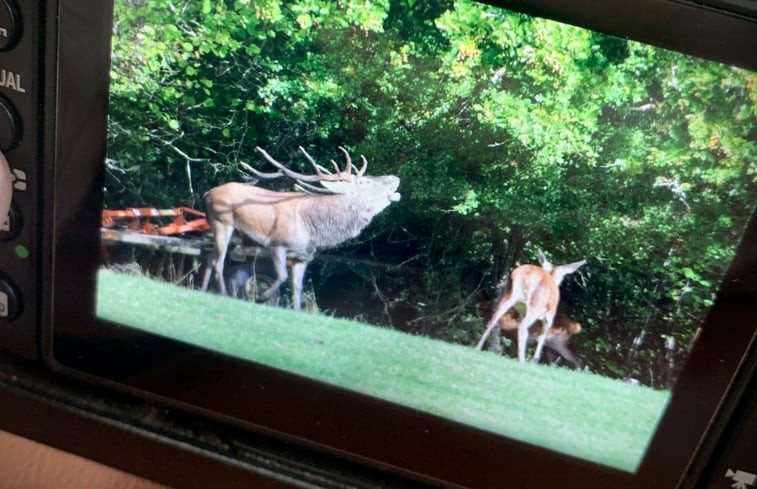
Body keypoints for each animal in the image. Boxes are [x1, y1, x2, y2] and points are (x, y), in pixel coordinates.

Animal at [201, 147, 402, 310]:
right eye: (365, 182)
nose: (395, 177)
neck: (314, 231)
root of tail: (208, 193)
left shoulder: (304, 256)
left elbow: (297, 287)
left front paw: (296, 310)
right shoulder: (277, 244)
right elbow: (282, 276)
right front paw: (261, 297)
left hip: (223, 230)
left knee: (210, 258)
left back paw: (202, 290)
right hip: (222, 222)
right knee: (219, 262)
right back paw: (223, 294)